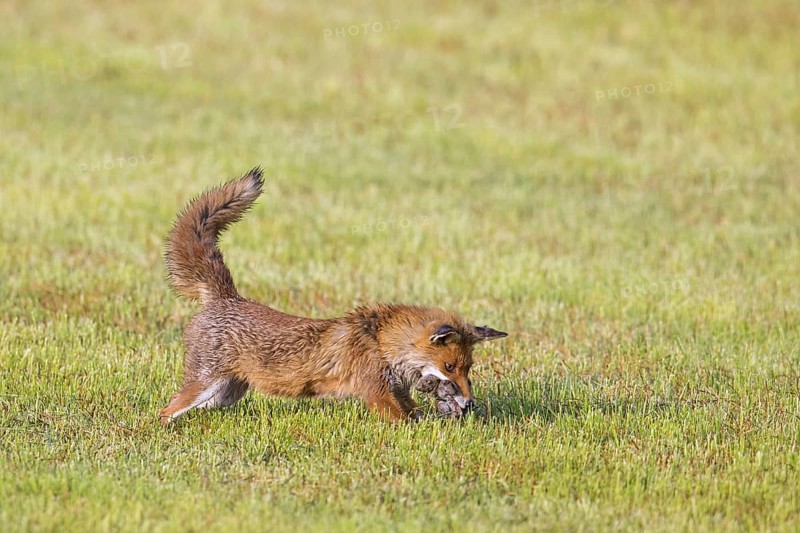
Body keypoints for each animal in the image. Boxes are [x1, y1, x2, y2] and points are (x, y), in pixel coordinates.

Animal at [159, 167, 507, 425]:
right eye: (449, 367)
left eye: (467, 369)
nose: (469, 403)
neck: (381, 343)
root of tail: (228, 297)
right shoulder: (376, 393)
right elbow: (404, 421)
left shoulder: (398, 391)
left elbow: (415, 413)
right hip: (203, 384)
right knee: (166, 410)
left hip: (224, 393)